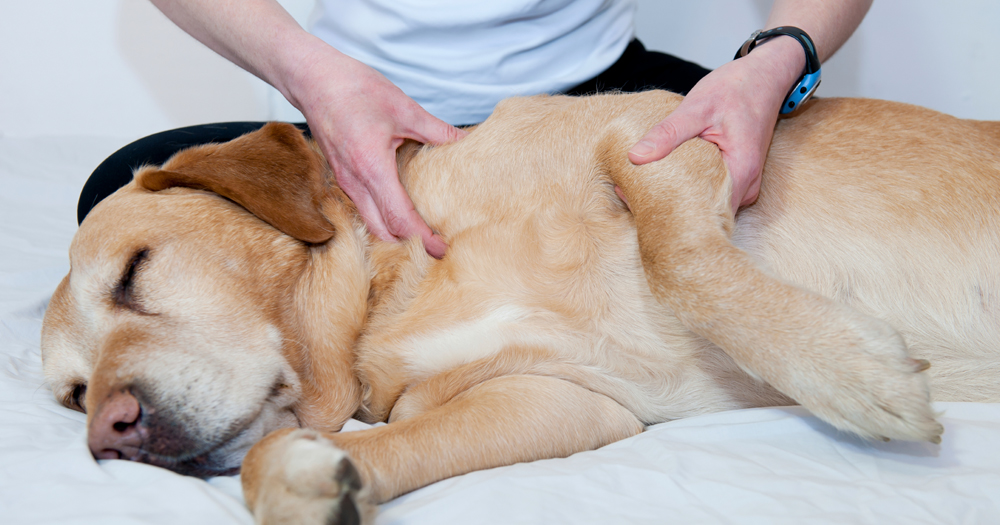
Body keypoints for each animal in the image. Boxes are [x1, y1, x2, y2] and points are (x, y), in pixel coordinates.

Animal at [41, 92, 1000, 520]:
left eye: (133, 270)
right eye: (72, 395)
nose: (109, 434)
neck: (394, 295)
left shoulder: (658, 135)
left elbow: (682, 260)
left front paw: (855, 377)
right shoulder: (562, 401)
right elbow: (330, 450)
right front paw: (309, 482)